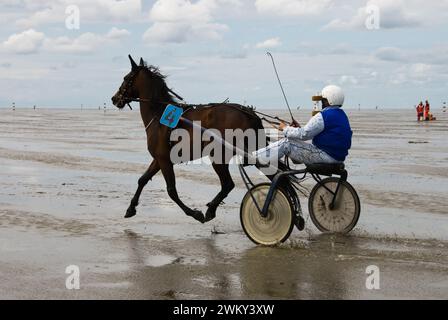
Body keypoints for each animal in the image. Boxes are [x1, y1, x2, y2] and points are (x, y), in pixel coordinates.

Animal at [111, 55, 270, 224]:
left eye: (126, 78)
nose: (114, 98)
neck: (159, 115)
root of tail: (248, 112)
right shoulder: (159, 159)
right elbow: (143, 179)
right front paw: (130, 208)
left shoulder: (164, 160)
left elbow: (171, 191)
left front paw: (195, 213)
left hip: (218, 156)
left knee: (227, 184)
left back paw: (211, 209)